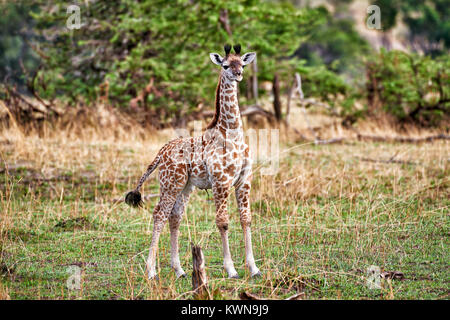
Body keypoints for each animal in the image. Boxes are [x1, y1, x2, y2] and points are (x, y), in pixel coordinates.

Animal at [125, 43, 260, 278]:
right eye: (225, 65)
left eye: (242, 64)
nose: (238, 75)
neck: (232, 135)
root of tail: (161, 152)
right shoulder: (220, 181)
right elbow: (223, 222)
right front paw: (231, 269)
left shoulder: (244, 180)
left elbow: (246, 219)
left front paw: (253, 268)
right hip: (170, 183)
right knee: (159, 214)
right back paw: (151, 271)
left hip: (185, 186)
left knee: (175, 216)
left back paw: (179, 269)